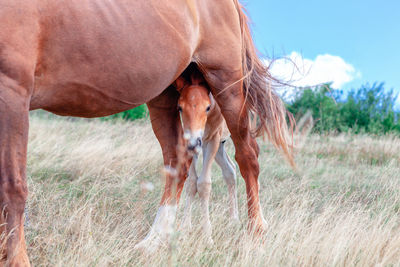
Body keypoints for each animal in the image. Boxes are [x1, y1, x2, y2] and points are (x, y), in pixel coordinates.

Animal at [174, 68, 238, 243]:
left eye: (208, 107)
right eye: (180, 107)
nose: (193, 143)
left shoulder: (212, 139)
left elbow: (204, 183)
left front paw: (208, 236)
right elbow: (191, 183)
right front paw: (184, 229)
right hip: (220, 147)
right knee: (230, 170)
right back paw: (233, 219)